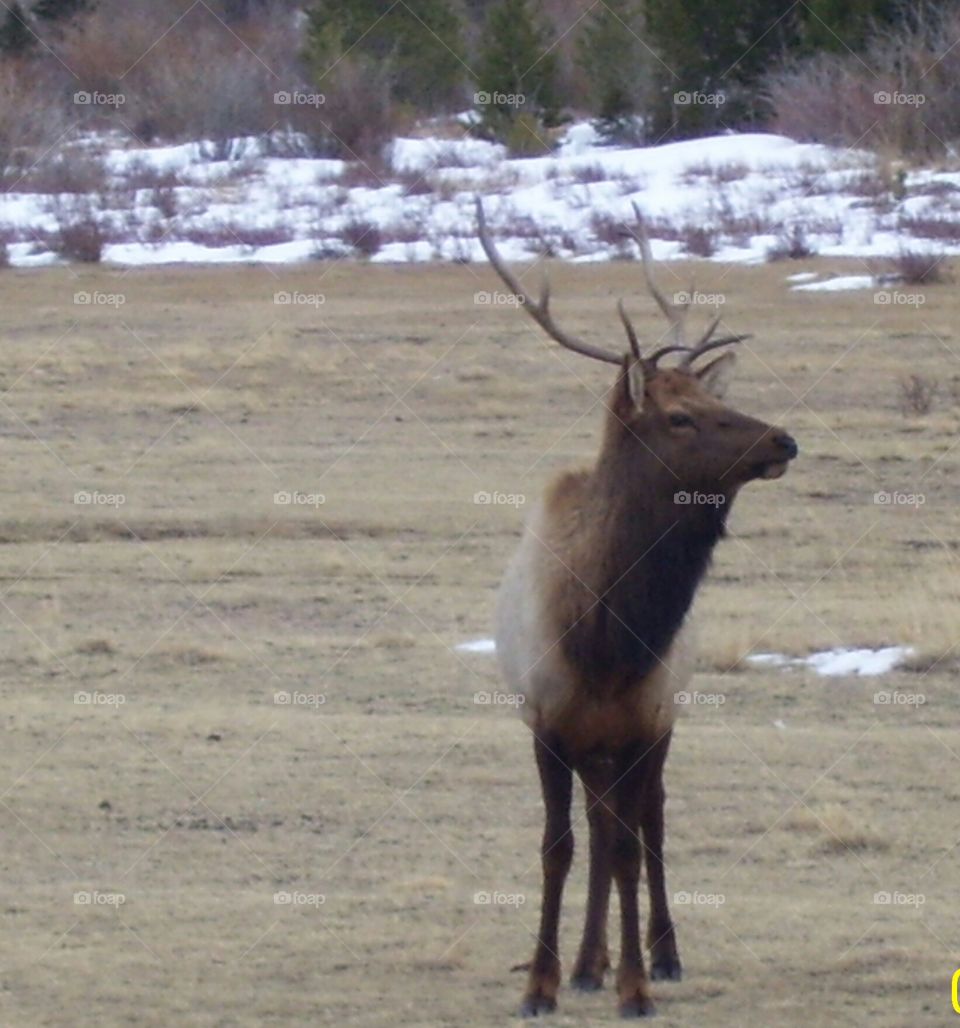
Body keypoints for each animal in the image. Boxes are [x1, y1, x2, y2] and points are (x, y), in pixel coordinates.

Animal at [476, 199, 798, 1019]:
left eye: (717, 399)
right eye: (679, 416)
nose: (784, 438)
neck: (604, 640)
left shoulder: (647, 720)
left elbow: (627, 848)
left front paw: (637, 985)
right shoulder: (546, 720)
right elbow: (558, 848)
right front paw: (542, 983)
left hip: (656, 728)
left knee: (645, 822)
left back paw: (659, 955)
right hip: (594, 747)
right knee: (600, 826)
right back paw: (587, 963)